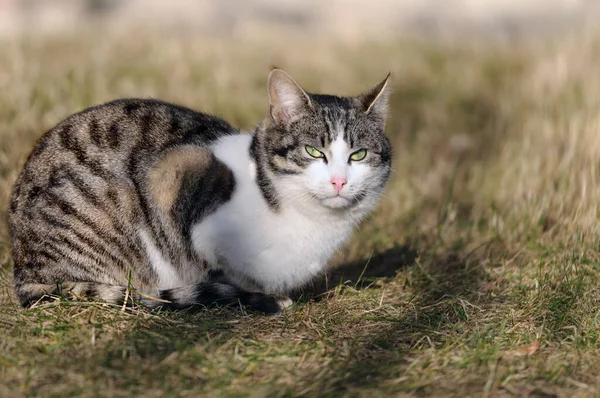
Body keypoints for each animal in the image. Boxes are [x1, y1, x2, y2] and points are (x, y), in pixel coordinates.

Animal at [7, 70, 392, 316]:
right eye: (314, 152)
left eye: (358, 155)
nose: (339, 182)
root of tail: (25, 273)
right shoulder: (176, 171)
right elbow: (208, 266)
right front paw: (254, 296)